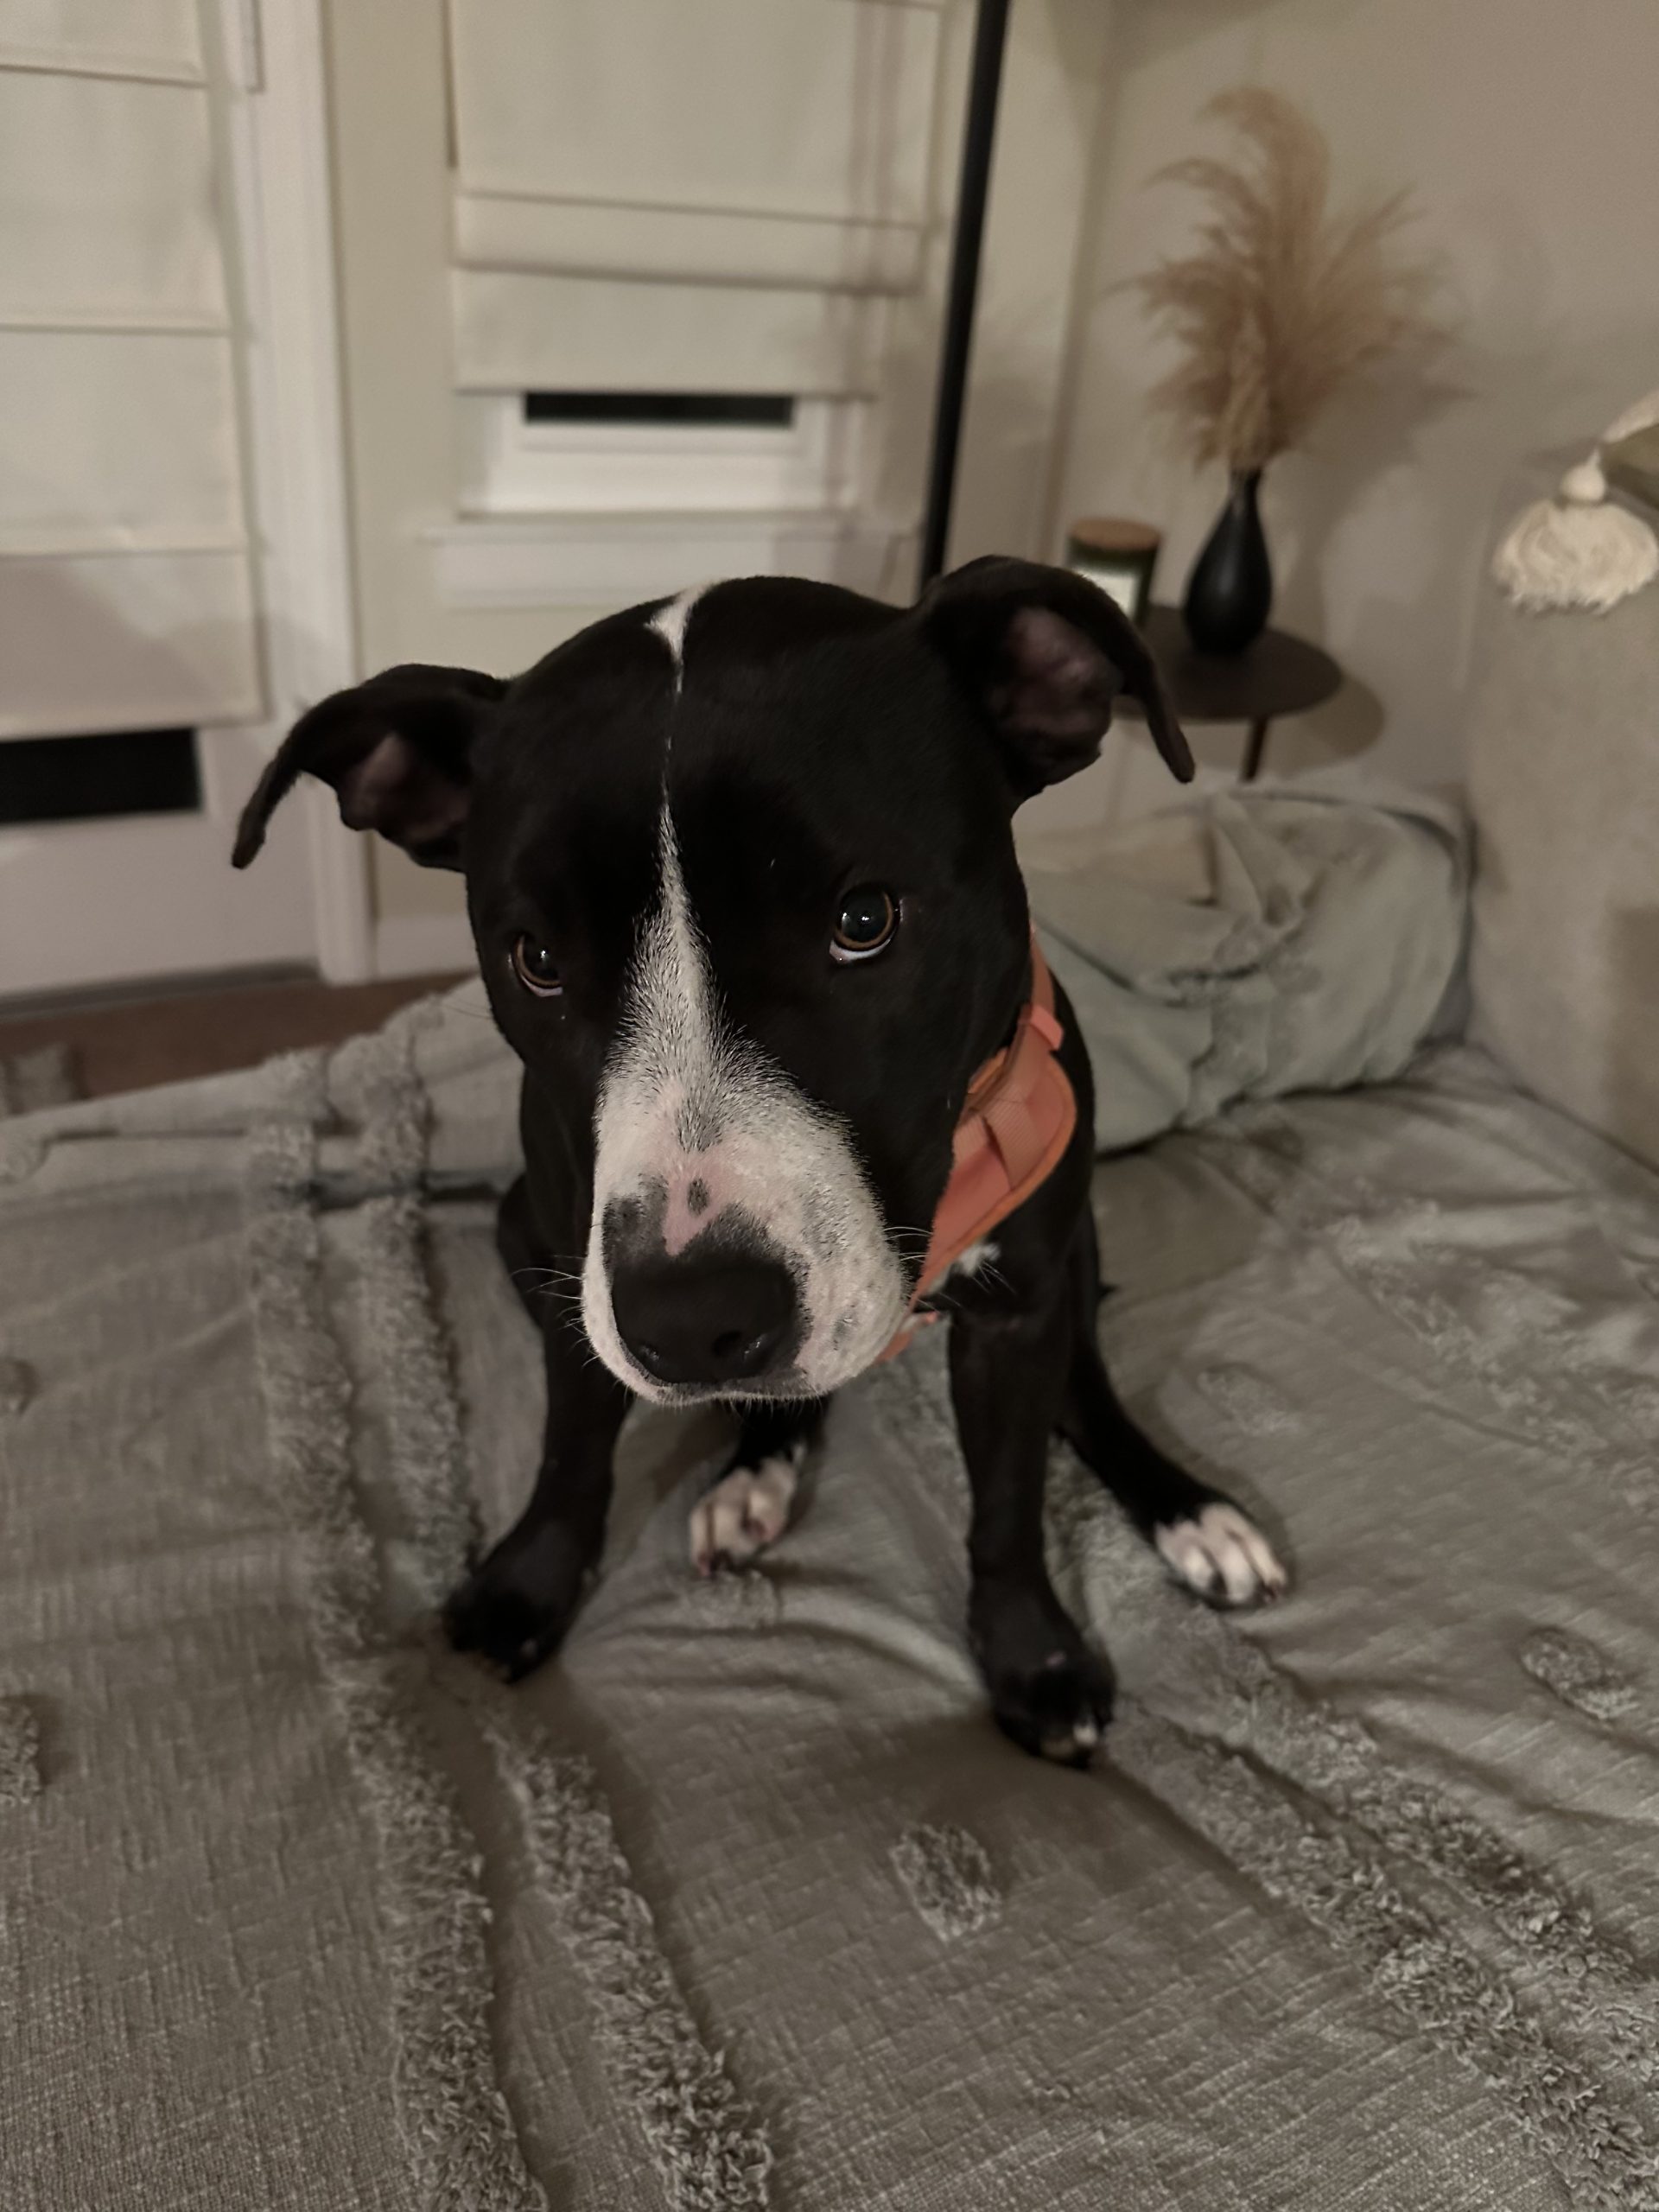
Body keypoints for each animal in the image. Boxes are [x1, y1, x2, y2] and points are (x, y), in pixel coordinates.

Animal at [236, 566, 1282, 1760]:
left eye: (865, 918)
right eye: (536, 959)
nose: (693, 1321)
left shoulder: (1022, 1310)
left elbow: (1011, 1503)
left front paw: (1034, 1652)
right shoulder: (576, 1276)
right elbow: (569, 1452)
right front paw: (529, 1585)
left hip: (1074, 1256)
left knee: (1091, 1394)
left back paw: (1191, 1514)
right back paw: (756, 1475)